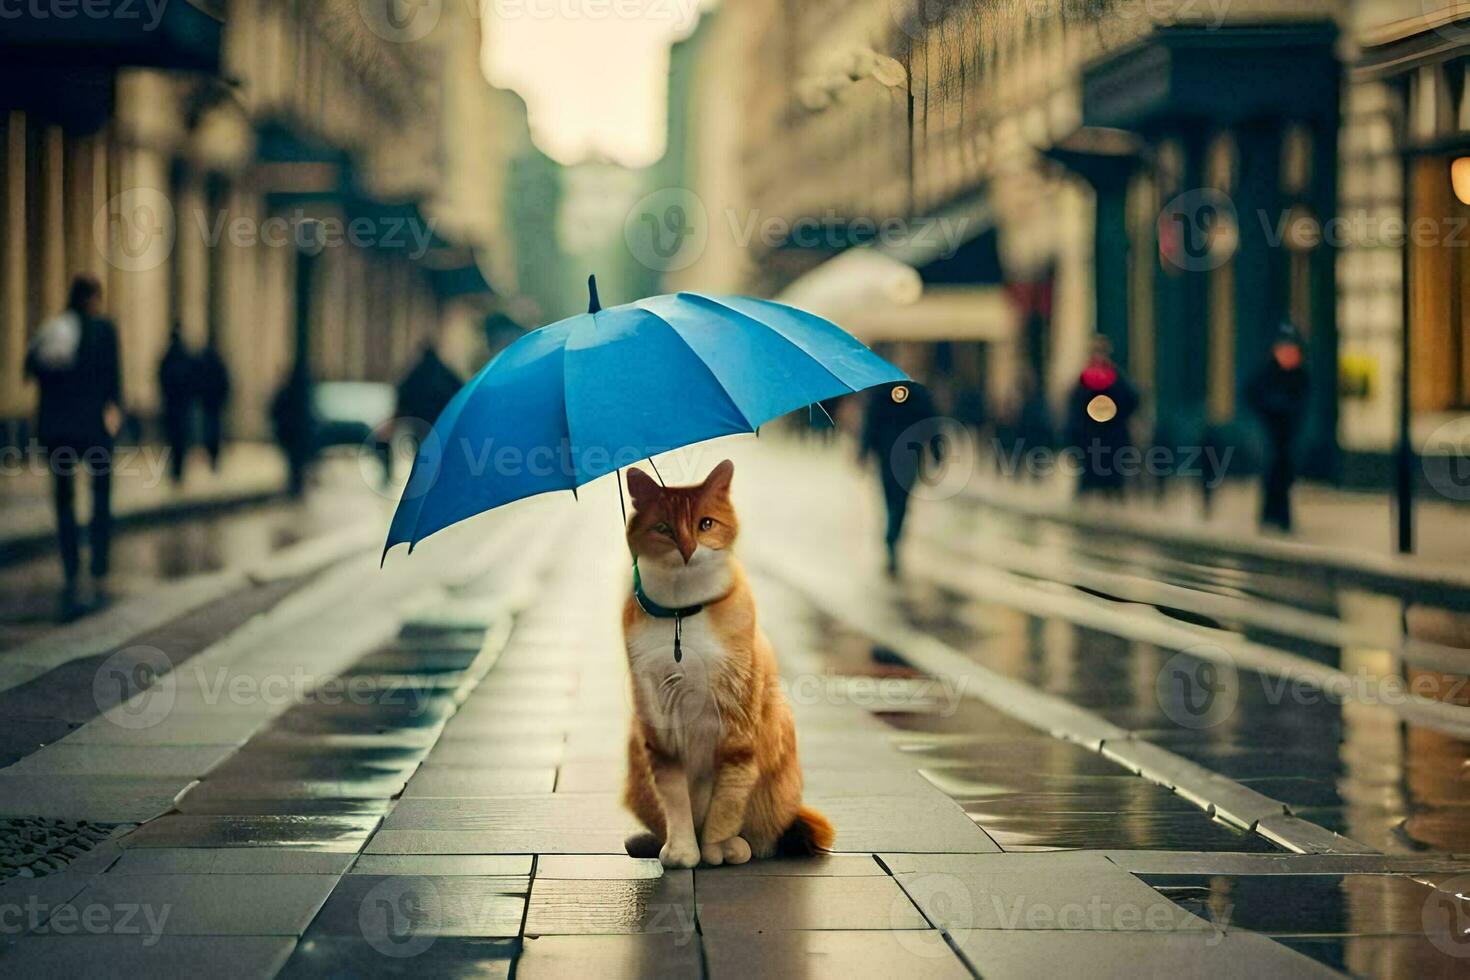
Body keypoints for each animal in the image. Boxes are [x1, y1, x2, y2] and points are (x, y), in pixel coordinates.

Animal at [617, 461, 829, 863]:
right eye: (664, 528)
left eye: (705, 524)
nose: (687, 550)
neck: (682, 613)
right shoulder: (658, 726)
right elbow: (675, 798)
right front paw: (684, 851)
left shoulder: (737, 725)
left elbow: (729, 798)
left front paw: (716, 848)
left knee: (765, 836)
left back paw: (737, 845)